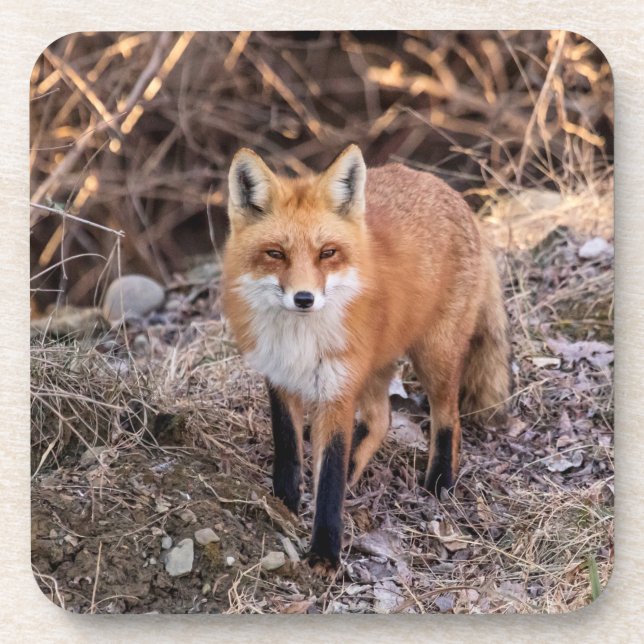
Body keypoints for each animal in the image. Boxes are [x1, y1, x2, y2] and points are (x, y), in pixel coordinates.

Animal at [221, 144, 511, 573]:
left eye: (327, 253)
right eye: (275, 254)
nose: (304, 298)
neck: (299, 340)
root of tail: (448, 191)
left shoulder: (338, 391)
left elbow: (329, 477)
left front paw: (325, 553)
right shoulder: (279, 377)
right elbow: (288, 449)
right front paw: (284, 502)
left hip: (434, 355)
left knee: (449, 418)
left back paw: (440, 481)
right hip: (374, 365)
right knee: (381, 419)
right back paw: (358, 467)